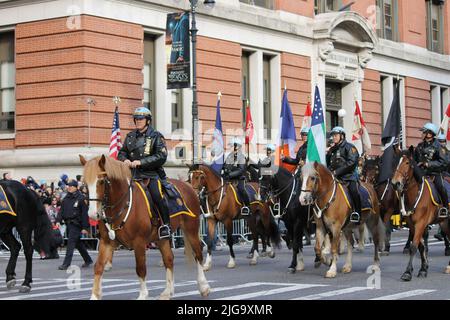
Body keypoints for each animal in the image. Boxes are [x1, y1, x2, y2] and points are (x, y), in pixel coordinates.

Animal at [80, 155, 210, 300]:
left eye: (101, 181)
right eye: (85, 183)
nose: (92, 214)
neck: (121, 205)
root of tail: (188, 186)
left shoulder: (139, 242)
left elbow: (141, 268)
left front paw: (143, 295)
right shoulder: (106, 242)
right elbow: (98, 267)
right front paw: (94, 296)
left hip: (191, 229)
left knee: (198, 254)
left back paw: (203, 287)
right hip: (161, 238)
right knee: (169, 259)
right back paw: (167, 292)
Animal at [390, 147, 450, 280]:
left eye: (407, 163)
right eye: (395, 162)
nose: (395, 183)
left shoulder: (421, 223)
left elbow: (414, 246)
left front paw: (407, 272)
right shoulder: (413, 224)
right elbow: (421, 246)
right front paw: (423, 269)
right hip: (443, 222)